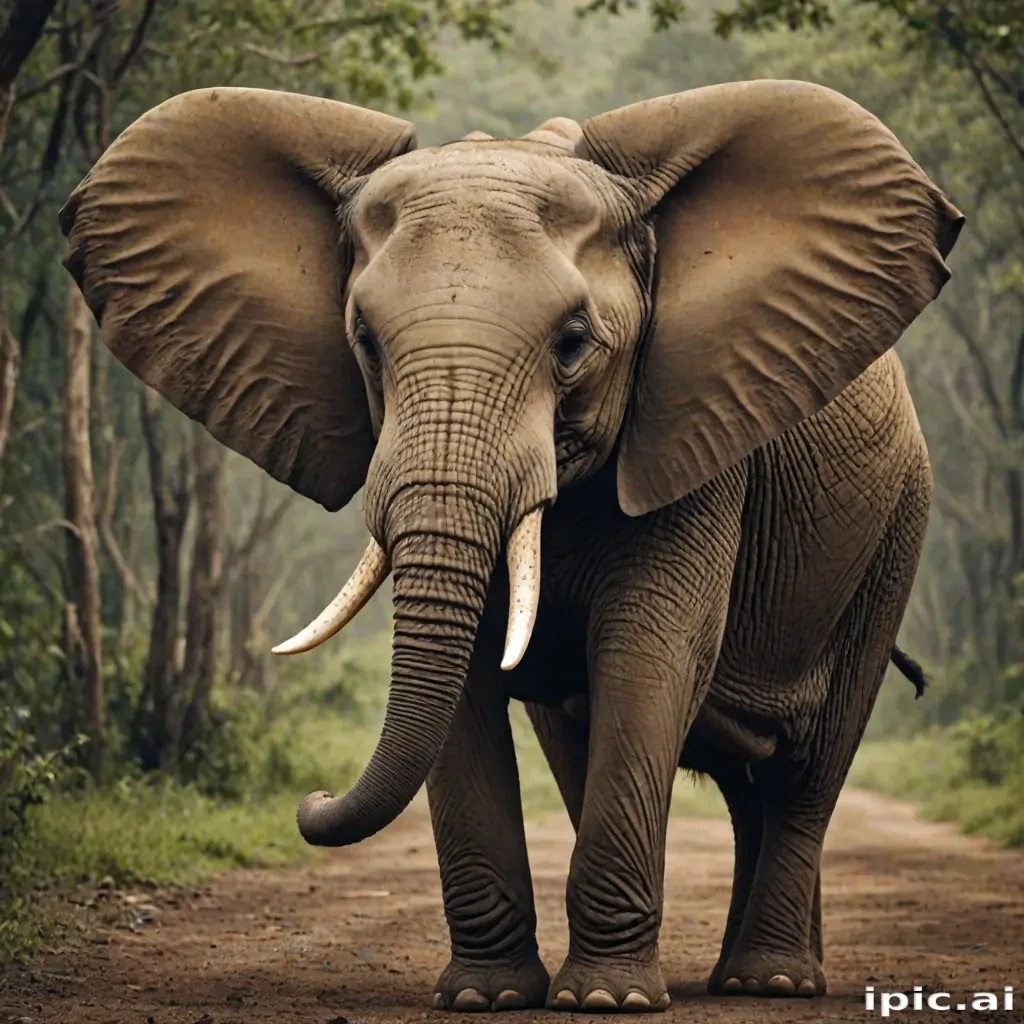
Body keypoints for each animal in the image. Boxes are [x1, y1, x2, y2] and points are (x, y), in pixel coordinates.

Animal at [60, 79, 963, 1013]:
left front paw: (606, 1002)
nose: (312, 801)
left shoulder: (698, 429)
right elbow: (468, 686)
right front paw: (485, 999)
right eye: (365, 342)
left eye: (573, 342)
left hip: (898, 525)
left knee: (808, 770)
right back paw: (743, 975)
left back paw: (770, 982)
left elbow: (650, 653)